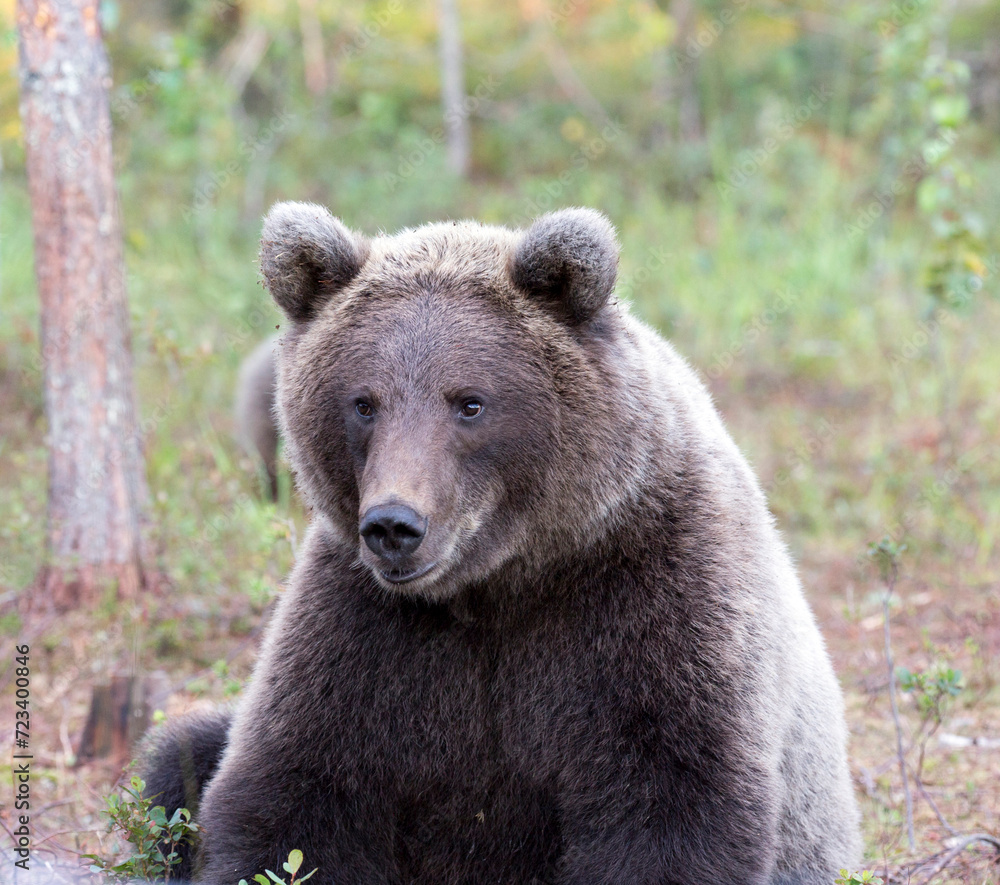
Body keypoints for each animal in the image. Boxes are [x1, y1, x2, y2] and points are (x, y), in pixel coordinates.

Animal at [145, 204, 864, 880]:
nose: (394, 526)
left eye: (470, 402)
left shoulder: (661, 606)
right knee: (184, 753)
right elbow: (294, 794)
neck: (502, 582)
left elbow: (670, 807)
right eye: (363, 402)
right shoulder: (363, 631)